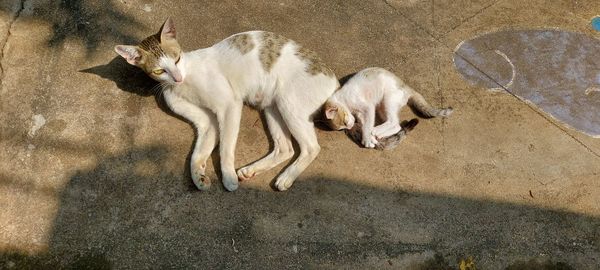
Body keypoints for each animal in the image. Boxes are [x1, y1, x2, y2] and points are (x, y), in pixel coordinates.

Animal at [115, 17, 340, 191]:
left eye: (177, 59)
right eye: (159, 71)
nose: (177, 78)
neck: (185, 82)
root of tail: (336, 83)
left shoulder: (229, 105)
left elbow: (226, 147)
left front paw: (228, 177)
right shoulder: (207, 122)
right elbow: (198, 153)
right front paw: (199, 176)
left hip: (289, 105)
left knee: (311, 148)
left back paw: (286, 178)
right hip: (272, 108)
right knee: (285, 148)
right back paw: (251, 170)